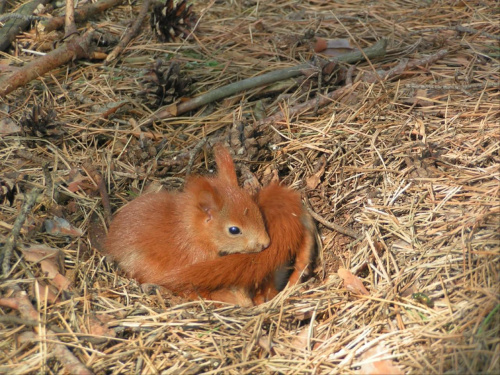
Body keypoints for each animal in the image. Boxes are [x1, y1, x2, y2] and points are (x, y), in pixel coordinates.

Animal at [103, 145, 272, 306]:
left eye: (256, 208)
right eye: (234, 230)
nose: (266, 243)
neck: (193, 231)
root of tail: (110, 244)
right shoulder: (197, 256)